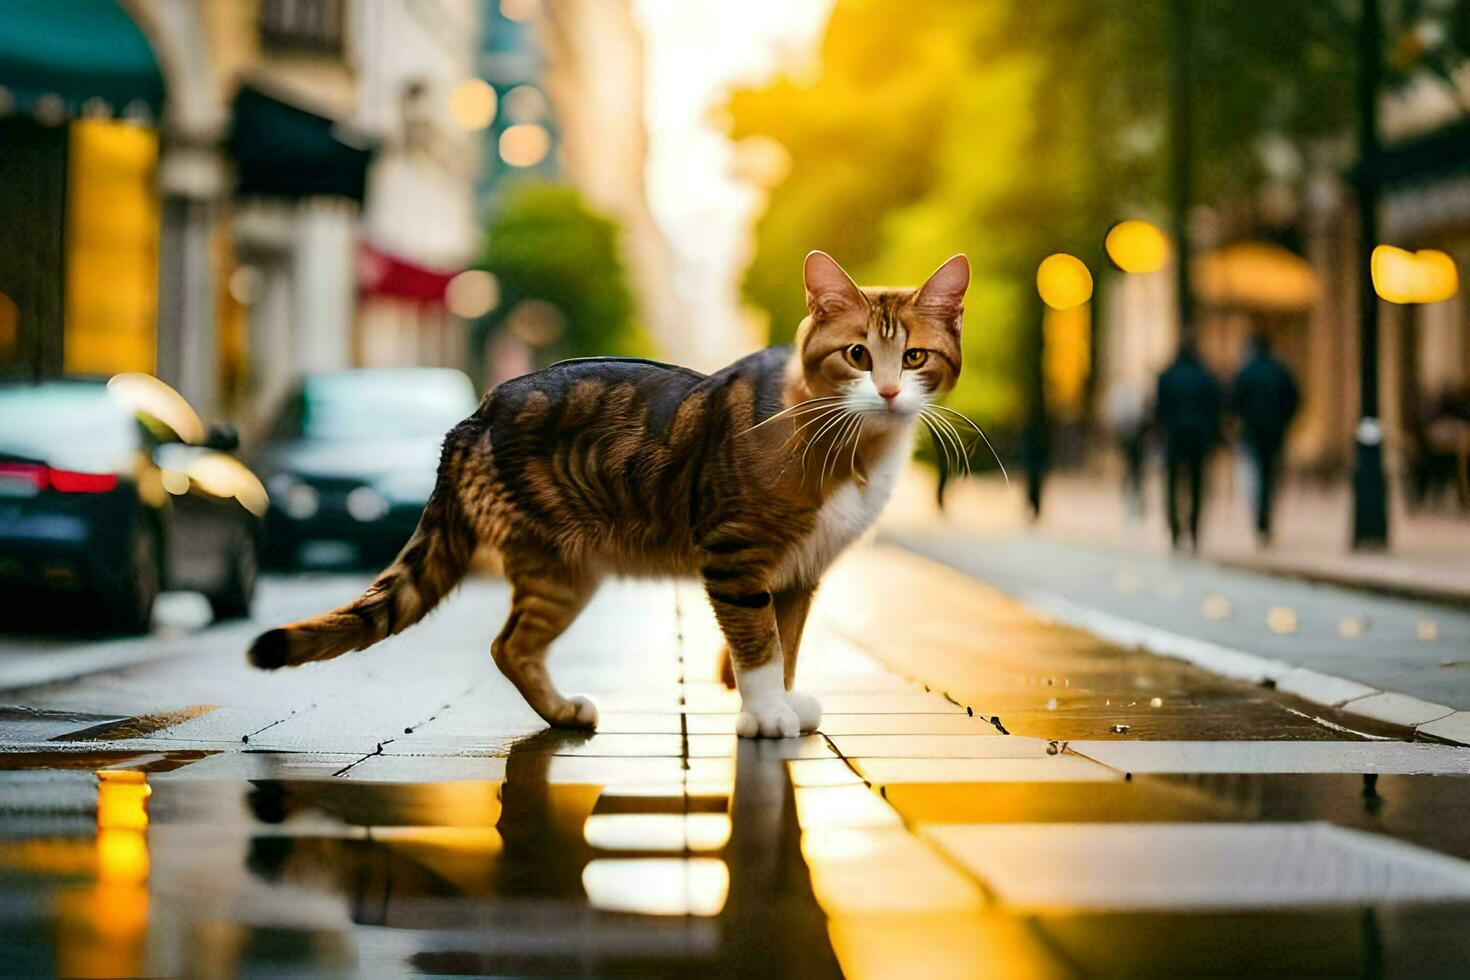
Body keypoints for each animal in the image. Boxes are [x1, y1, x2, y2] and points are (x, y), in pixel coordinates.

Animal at [246, 249, 970, 740]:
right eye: (856, 355)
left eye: (913, 358)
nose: (887, 392)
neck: (854, 448)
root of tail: (477, 411)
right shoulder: (736, 558)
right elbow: (758, 645)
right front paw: (766, 714)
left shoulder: (800, 573)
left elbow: (786, 644)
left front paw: (786, 702)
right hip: (556, 557)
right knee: (508, 645)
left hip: (566, 571)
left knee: (512, 645)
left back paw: (562, 712)